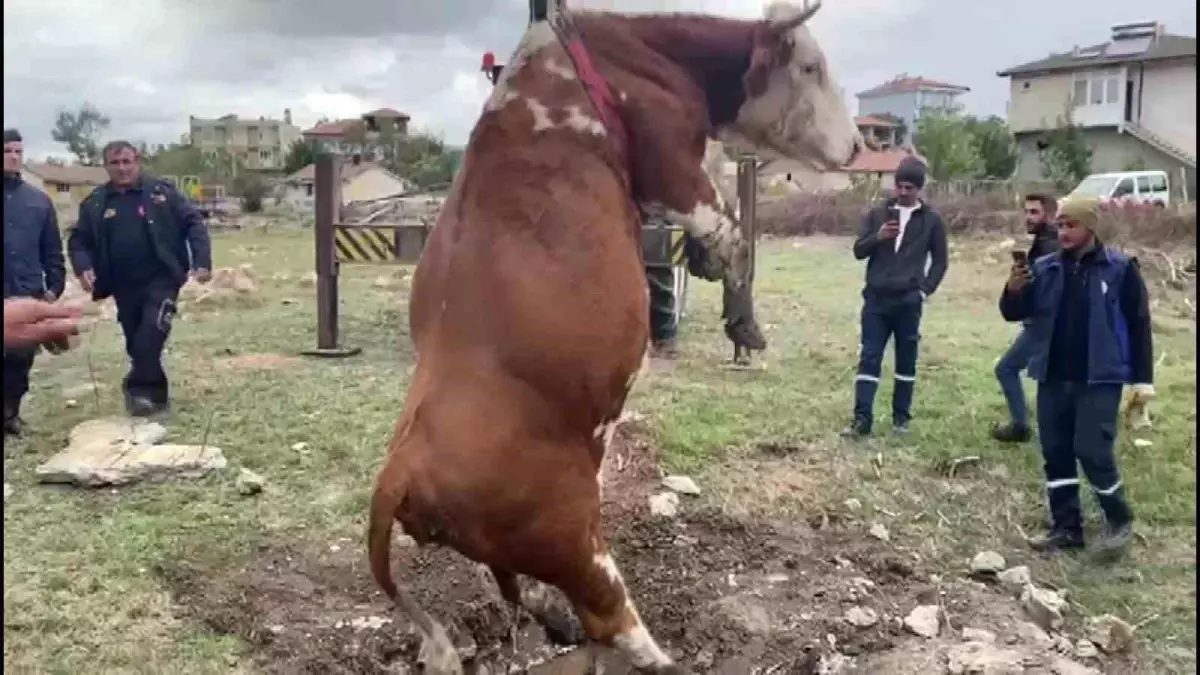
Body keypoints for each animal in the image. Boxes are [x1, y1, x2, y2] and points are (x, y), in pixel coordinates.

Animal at [367, 2, 864, 667]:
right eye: (810, 66)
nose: (858, 145)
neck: (626, 53)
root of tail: (399, 472)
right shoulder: (674, 166)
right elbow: (734, 235)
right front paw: (744, 324)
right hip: (569, 537)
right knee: (608, 615)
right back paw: (659, 657)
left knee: (519, 588)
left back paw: (555, 620)